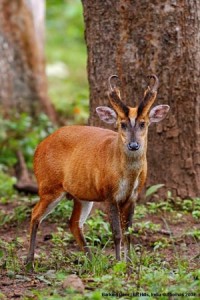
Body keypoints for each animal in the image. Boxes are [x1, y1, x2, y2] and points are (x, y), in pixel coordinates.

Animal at [25, 75, 170, 268]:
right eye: (122, 124)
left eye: (143, 123)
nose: (133, 145)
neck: (126, 176)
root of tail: (38, 147)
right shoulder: (109, 194)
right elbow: (117, 233)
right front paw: (118, 263)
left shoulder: (133, 196)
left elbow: (129, 232)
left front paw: (129, 263)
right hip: (49, 186)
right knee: (35, 215)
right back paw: (29, 262)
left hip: (81, 195)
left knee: (74, 223)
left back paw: (92, 260)